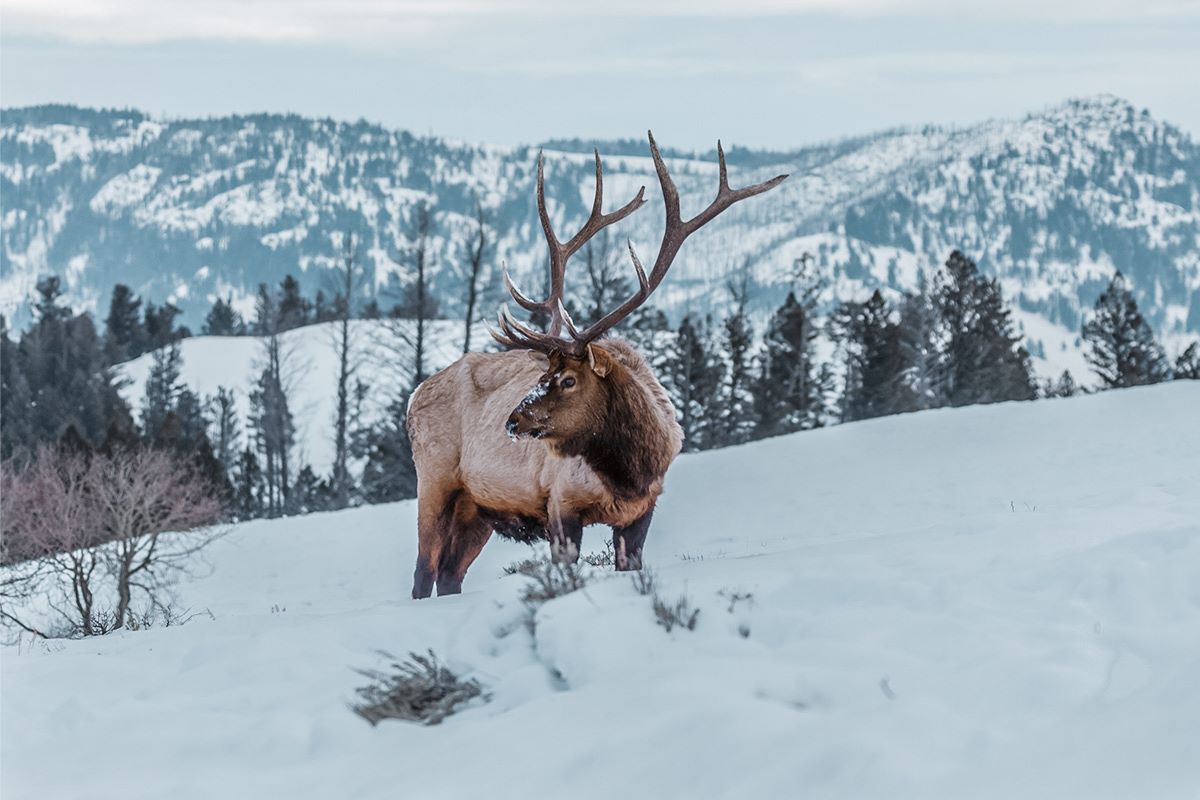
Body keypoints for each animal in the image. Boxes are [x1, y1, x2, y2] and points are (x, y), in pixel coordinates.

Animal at [406, 132, 786, 598]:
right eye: (543, 375)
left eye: (568, 379)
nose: (513, 420)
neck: (629, 470)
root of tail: (413, 397)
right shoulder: (560, 503)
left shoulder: (642, 511)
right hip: (435, 481)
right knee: (423, 572)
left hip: (478, 507)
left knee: (449, 575)